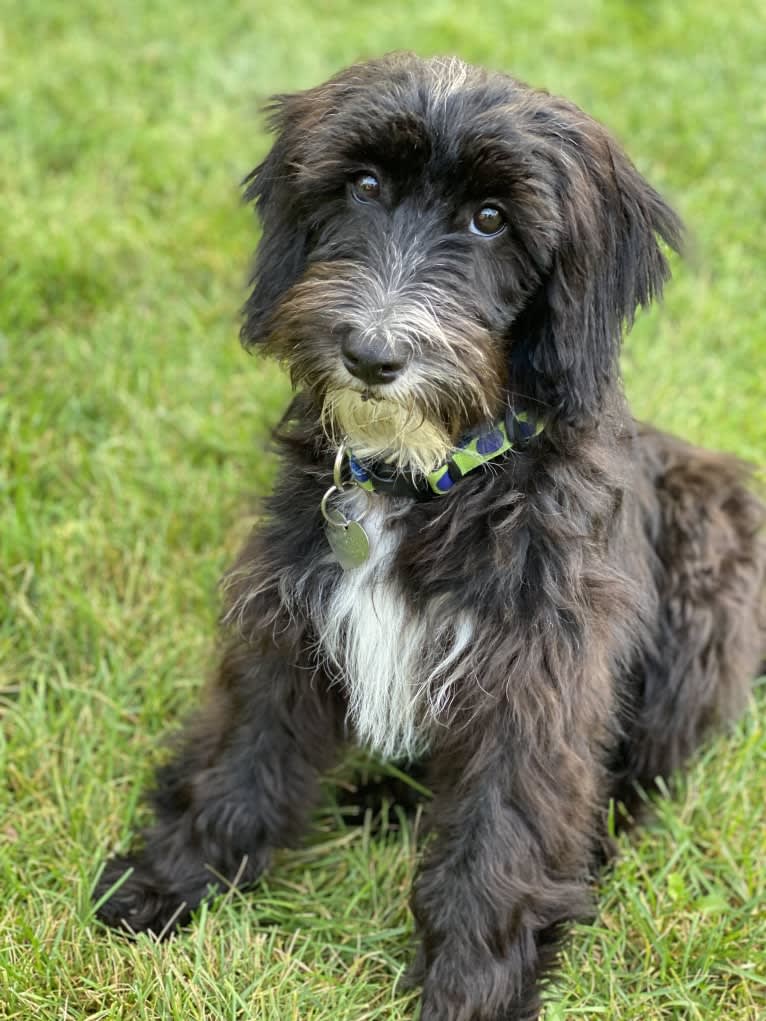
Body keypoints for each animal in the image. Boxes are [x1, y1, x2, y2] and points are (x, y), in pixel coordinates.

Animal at [96, 53, 766, 1021]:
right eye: (365, 185)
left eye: (491, 218)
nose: (373, 355)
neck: (426, 476)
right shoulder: (288, 617)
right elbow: (242, 755)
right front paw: (169, 877)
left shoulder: (535, 679)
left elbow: (500, 838)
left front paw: (471, 990)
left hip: (713, 550)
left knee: (639, 779)